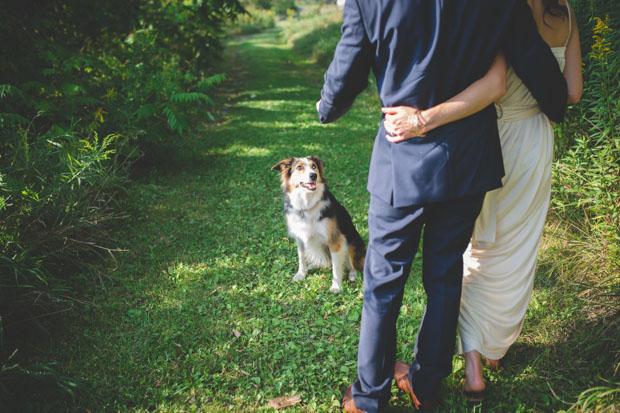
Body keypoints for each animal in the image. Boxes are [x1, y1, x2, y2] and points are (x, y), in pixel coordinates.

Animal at [270, 155, 366, 292]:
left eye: (314, 166)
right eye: (299, 167)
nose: (313, 175)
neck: (306, 205)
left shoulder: (335, 240)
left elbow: (336, 267)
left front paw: (336, 286)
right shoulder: (300, 238)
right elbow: (301, 258)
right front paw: (301, 274)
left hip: (352, 243)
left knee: (353, 264)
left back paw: (352, 274)